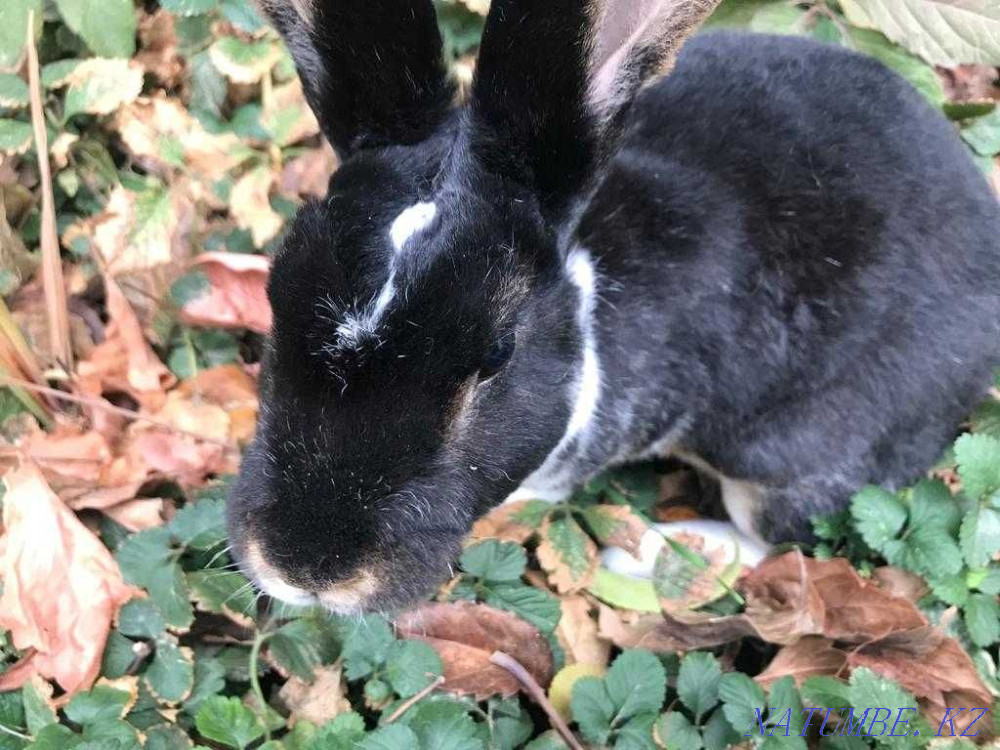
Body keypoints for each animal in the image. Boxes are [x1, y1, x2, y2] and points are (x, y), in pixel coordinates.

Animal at [226, 0, 1000, 614]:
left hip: (789, 456)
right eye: (276, 295)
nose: (306, 569)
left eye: (498, 353)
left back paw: (663, 555)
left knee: (778, 539)